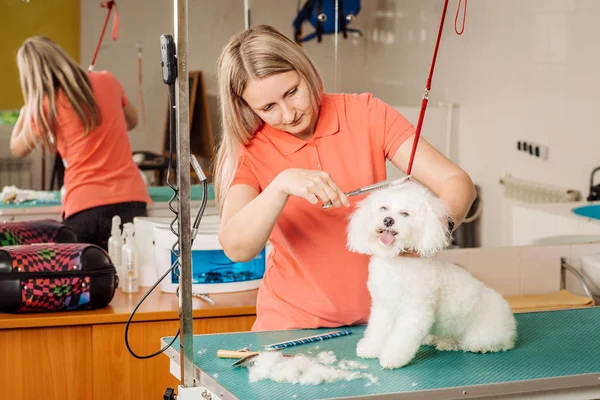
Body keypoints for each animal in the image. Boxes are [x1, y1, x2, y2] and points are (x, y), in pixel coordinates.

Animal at [346, 180, 516, 368]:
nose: (388, 220)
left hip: (484, 333)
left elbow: (400, 339)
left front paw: (391, 357)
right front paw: (370, 348)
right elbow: (377, 329)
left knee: (490, 342)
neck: (396, 265)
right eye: (383, 208)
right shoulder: (383, 306)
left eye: (405, 214)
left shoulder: (416, 311)